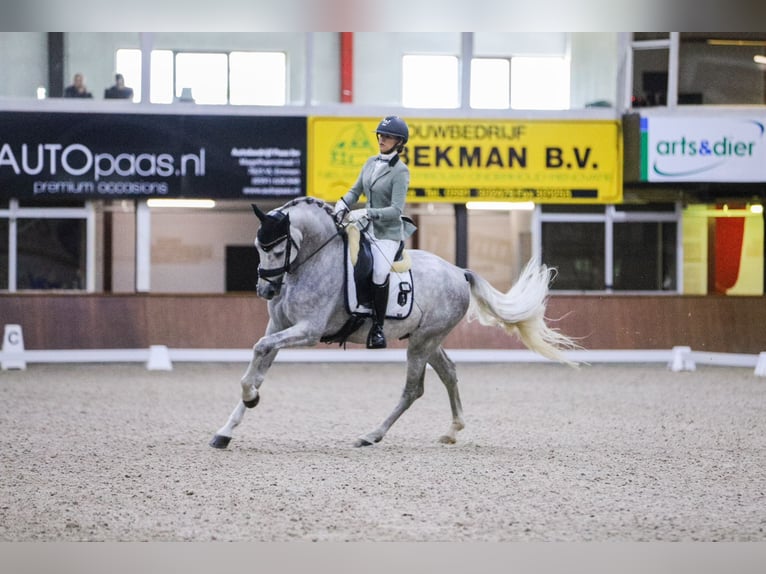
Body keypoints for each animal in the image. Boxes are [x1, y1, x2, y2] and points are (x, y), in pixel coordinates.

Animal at [212, 198, 584, 450]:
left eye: (277, 250)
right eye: (258, 246)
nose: (265, 290)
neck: (312, 260)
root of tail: (458, 272)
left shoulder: (308, 331)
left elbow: (258, 352)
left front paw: (251, 398)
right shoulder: (278, 327)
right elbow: (258, 363)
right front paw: (228, 428)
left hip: (422, 343)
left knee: (413, 389)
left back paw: (371, 435)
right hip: (428, 340)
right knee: (449, 373)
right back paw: (452, 430)